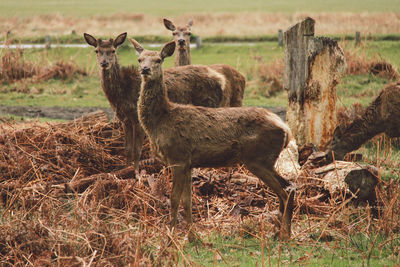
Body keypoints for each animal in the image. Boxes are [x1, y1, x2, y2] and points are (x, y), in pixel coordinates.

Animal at [83, 32, 245, 176]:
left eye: (113, 50)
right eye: (97, 51)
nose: (104, 63)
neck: (121, 94)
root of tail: (222, 79)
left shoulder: (137, 119)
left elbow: (137, 150)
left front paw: (135, 173)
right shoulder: (125, 119)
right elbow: (127, 149)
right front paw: (125, 169)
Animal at [130, 38, 296, 242]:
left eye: (158, 60)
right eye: (139, 59)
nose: (145, 69)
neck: (160, 121)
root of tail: (286, 129)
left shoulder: (178, 157)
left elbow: (174, 199)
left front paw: (169, 237)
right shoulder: (188, 163)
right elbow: (187, 201)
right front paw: (192, 237)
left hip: (259, 158)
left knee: (285, 191)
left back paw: (284, 235)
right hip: (264, 160)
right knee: (289, 187)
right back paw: (280, 233)